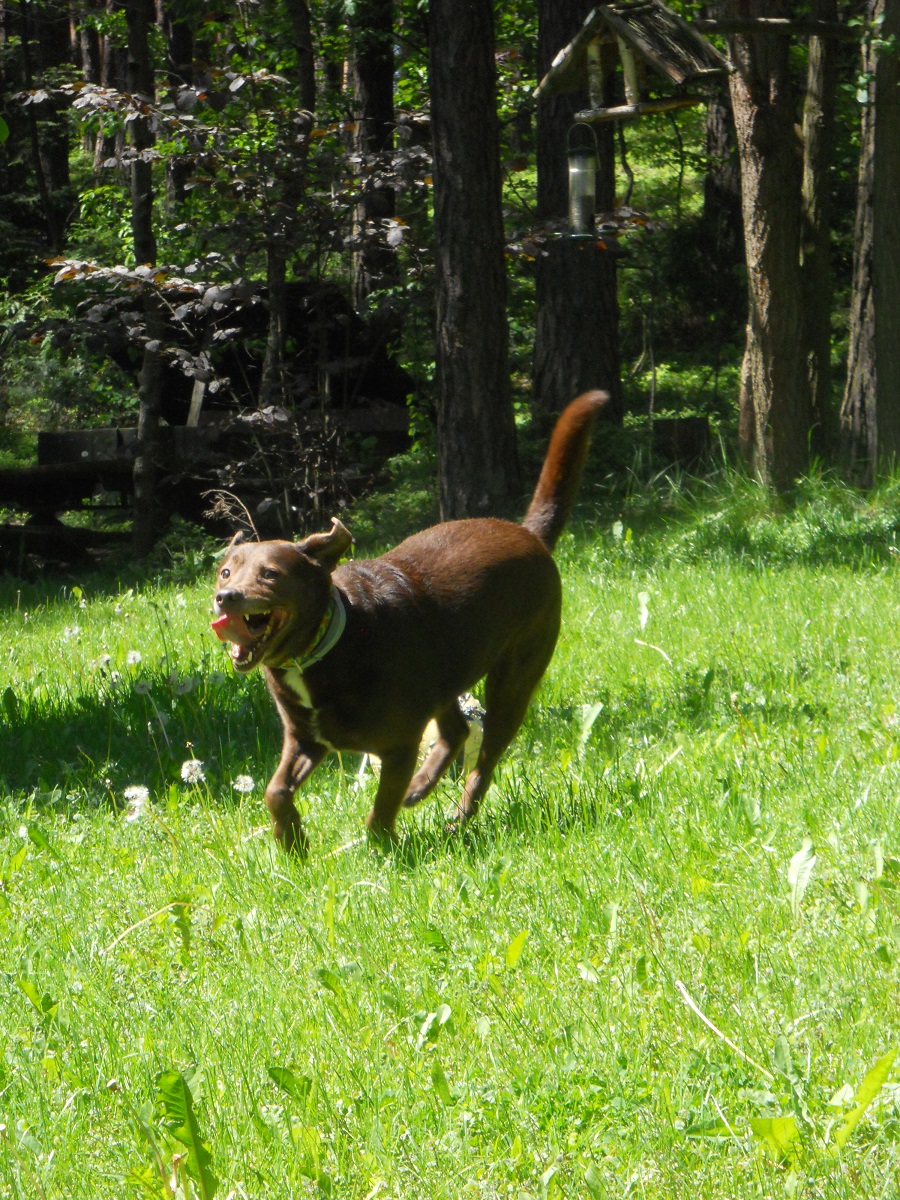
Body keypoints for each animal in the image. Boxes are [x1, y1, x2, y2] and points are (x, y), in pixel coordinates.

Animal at [211, 390, 608, 853]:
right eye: (225, 572)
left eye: (270, 574)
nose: (225, 598)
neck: (331, 645)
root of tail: (530, 535)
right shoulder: (305, 738)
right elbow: (275, 791)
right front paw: (291, 841)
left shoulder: (398, 746)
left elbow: (381, 809)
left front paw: (384, 852)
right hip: (445, 674)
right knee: (456, 729)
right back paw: (421, 787)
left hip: (513, 679)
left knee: (485, 758)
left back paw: (457, 818)